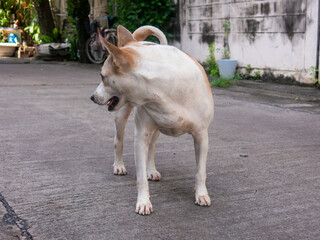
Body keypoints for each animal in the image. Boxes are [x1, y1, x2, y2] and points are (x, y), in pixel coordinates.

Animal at [91, 25, 214, 215]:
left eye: (102, 77)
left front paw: (201, 194)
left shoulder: (201, 136)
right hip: (121, 117)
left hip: (157, 129)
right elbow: (141, 178)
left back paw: (151, 169)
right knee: (118, 141)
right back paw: (118, 165)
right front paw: (143, 202)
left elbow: (200, 171)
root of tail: (137, 41)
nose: (92, 97)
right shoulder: (141, 136)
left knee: (152, 148)